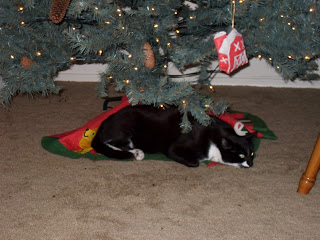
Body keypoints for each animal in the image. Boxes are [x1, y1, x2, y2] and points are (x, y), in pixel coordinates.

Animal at [91, 105, 256, 167]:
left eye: (252, 154)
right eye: (241, 155)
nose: (250, 163)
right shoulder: (174, 147)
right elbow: (195, 162)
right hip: (126, 127)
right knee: (109, 143)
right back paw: (136, 153)